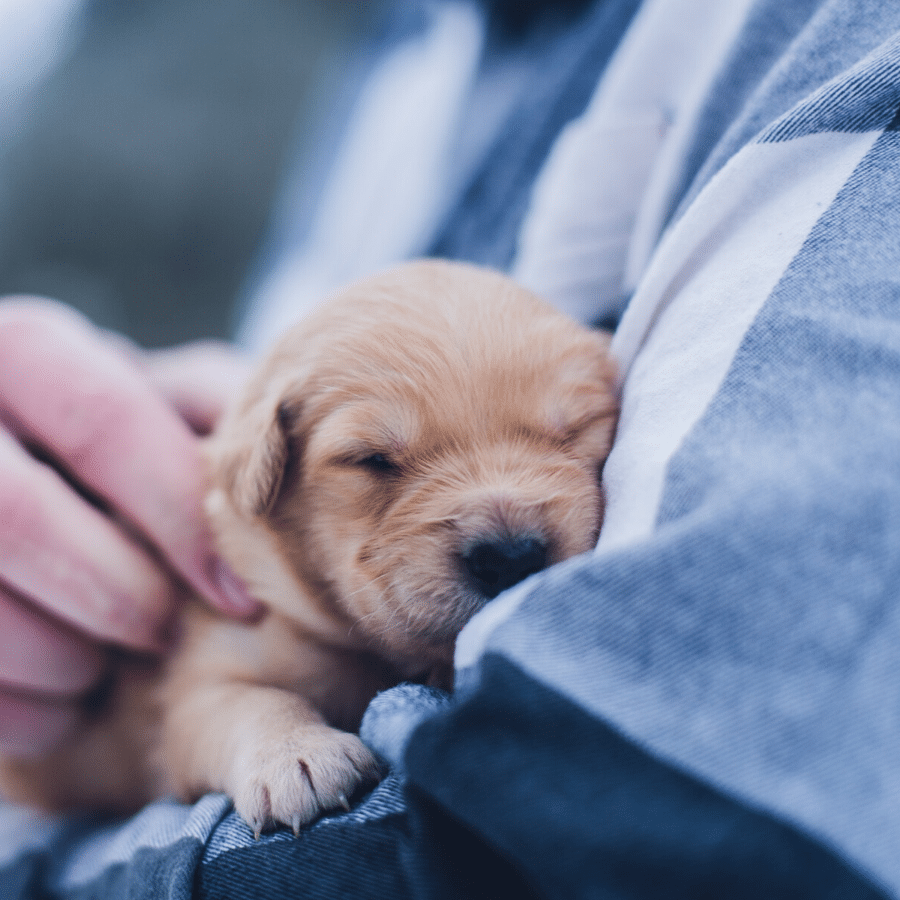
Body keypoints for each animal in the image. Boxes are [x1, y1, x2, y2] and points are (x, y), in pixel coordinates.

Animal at [0, 256, 620, 832]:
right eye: (373, 459)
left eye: (574, 430)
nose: (510, 556)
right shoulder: (199, 678)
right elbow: (247, 701)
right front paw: (295, 756)